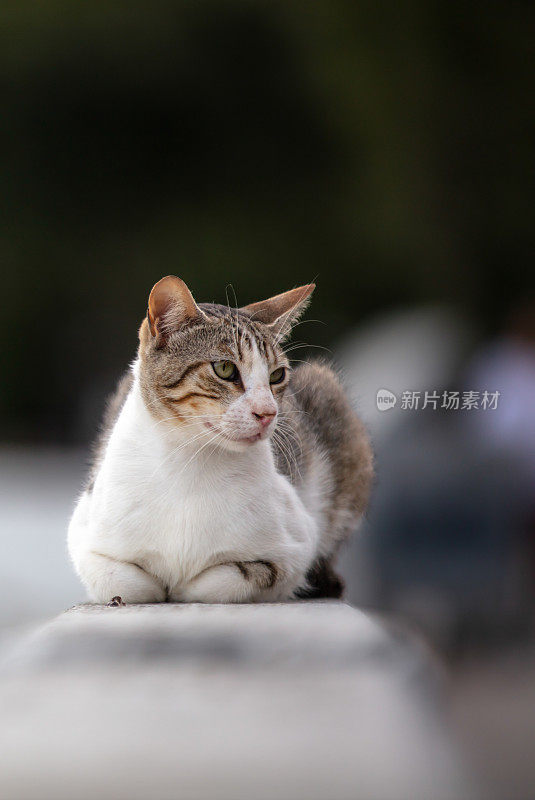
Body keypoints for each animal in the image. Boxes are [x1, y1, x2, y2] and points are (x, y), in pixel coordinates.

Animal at [67, 278, 372, 604]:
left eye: (277, 375)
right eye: (225, 369)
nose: (268, 413)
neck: (188, 464)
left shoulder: (296, 546)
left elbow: (227, 580)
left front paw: (181, 586)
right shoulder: (85, 536)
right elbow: (123, 583)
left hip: (331, 399)